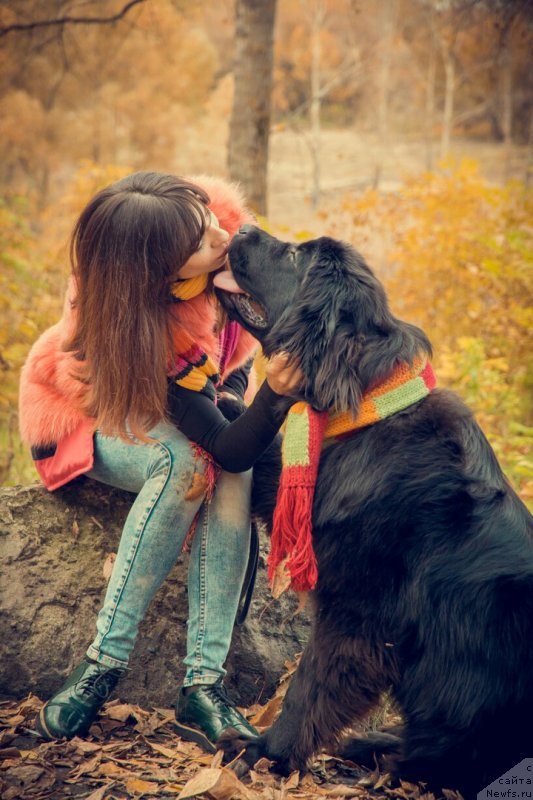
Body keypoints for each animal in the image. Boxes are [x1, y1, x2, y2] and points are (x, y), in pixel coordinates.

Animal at [213, 223, 532, 792]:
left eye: (293, 256)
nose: (242, 227)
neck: (367, 405)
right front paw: (225, 404)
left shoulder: (357, 608)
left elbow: (311, 684)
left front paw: (268, 751)